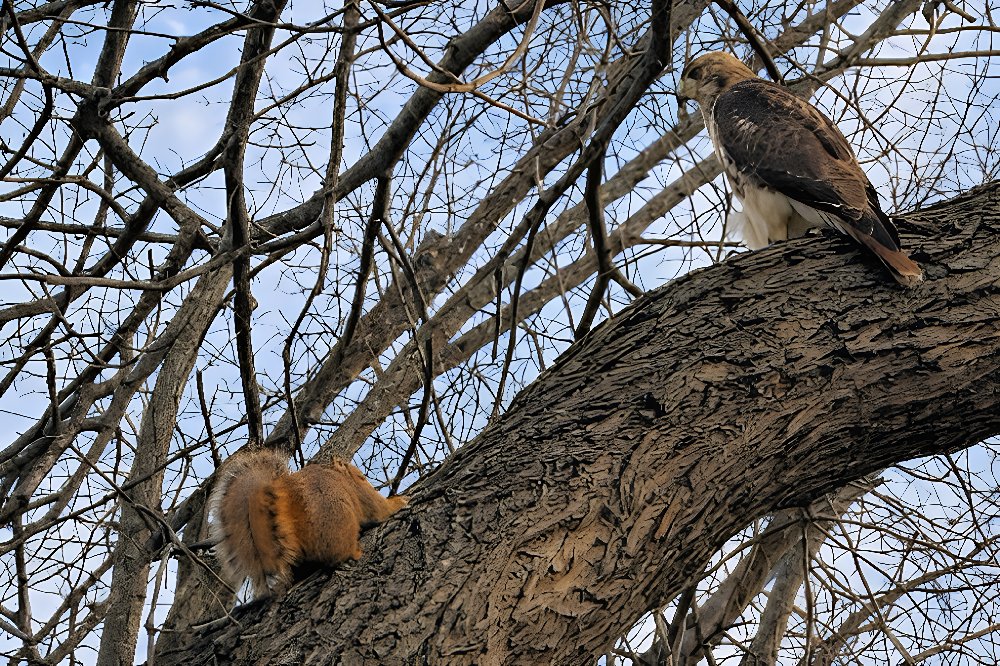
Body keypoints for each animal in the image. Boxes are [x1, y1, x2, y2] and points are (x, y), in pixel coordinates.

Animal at [208, 449, 407, 598]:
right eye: (360, 476)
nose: (364, 477)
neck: (339, 475)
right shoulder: (362, 495)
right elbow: (380, 509)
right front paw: (400, 501)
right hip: (337, 516)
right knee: (336, 553)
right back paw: (352, 554)